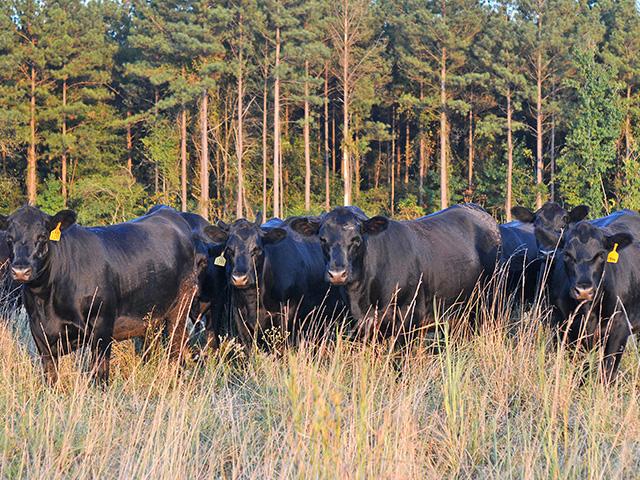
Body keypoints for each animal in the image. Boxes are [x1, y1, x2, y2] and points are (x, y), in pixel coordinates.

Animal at [0, 205, 200, 384]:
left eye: (42, 236)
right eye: (9, 238)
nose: (20, 271)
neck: (46, 301)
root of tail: (168, 212)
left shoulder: (102, 326)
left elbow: (100, 374)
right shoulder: (39, 331)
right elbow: (50, 376)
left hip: (180, 307)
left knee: (176, 346)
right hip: (150, 317)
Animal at [289, 204, 502, 342]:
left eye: (357, 239)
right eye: (322, 239)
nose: (337, 273)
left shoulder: (408, 316)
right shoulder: (361, 324)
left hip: (489, 302)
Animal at [549, 219, 640, 382]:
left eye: (601, 254)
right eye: (567, 254)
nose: (584, 290)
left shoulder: (620, 327)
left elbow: (608, 371)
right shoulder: (565, 327)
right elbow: (580, 369)